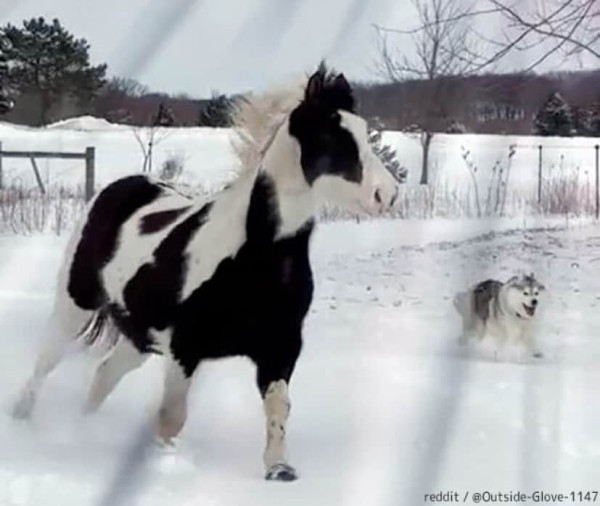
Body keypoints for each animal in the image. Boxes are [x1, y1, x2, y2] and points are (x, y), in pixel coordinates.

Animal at [11, 64, 398, 482]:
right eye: (330, 135)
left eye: (363, 130)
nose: (387, 194)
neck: (256, 257)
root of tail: (120, 186)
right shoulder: (185, 350)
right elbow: (171, 417)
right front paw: (164, 464)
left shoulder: (279, 348)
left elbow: (278, 408)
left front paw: (279, 469)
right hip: (75, 304)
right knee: (46, 361)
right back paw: (23, 419)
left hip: (141, 336)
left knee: (104, 374)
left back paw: (85, 427)